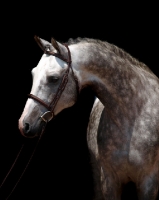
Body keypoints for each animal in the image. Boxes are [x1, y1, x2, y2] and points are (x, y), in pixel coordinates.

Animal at [19, 36, 159, 200]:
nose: (24, 124)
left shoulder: (148, 182)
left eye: (53, 78)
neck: (133, 116)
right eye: (33, 74)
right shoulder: (109, 180)